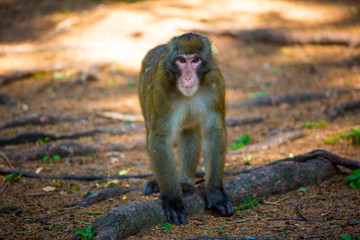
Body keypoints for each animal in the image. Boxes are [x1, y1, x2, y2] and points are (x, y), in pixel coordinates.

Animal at [138, 32, 233, 224]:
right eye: (181, 60)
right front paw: (173, 200)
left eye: (195, 60)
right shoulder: (160, 87)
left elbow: (214, 133)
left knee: (189, 131)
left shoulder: (216, 83)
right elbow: (158, 137)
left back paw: (186, 183)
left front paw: (215, 193)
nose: (188, 77)